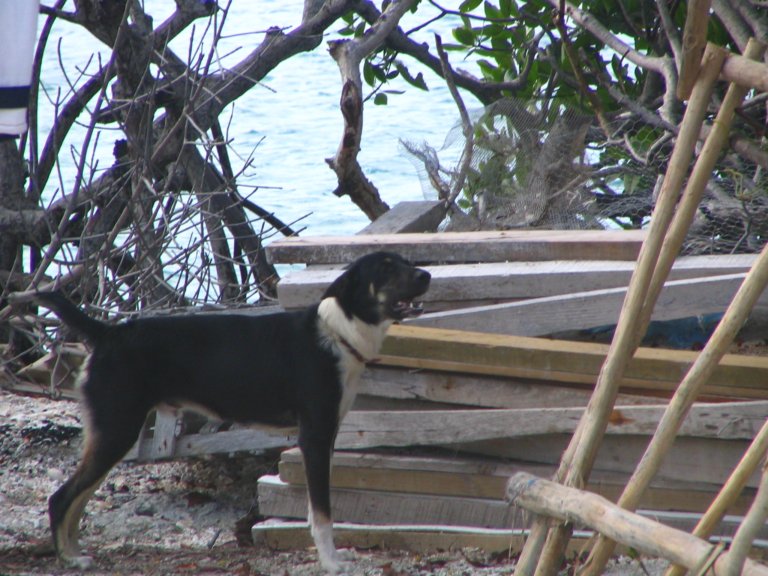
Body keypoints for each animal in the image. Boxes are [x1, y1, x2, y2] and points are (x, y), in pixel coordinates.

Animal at [33, 252, 428, 572]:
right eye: (386, 269)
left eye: (405, 261)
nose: (426, 275)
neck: (338, 332)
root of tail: (107, 333)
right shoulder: (314, 437)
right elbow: (322, 513)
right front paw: (330, 562)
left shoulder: (326, 438)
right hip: (118, 430)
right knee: (62, 498)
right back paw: (69, 559)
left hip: (111, 434)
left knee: (77, 499)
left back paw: (75, 552)